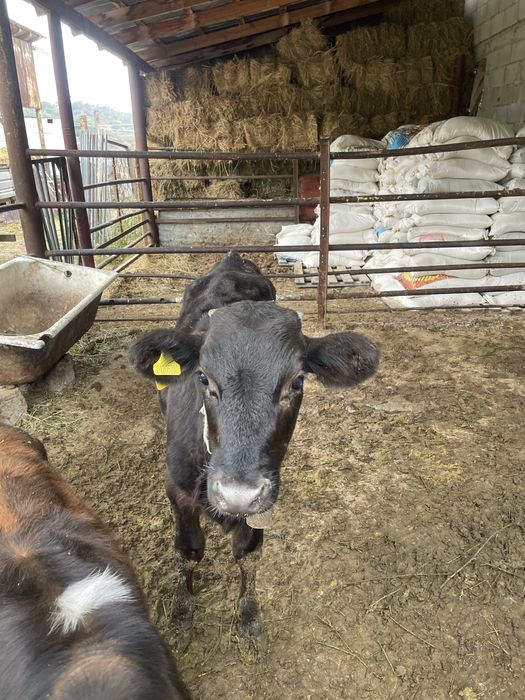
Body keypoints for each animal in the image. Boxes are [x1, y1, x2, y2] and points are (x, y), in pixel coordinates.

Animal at [129, 252, 379, 638]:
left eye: (298, 381)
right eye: (203, 378)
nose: (237, 495)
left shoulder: (265, 496)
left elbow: (248, 551)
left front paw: (247, 611)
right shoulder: (176, 488)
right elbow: (189, 551)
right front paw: (182, 611)